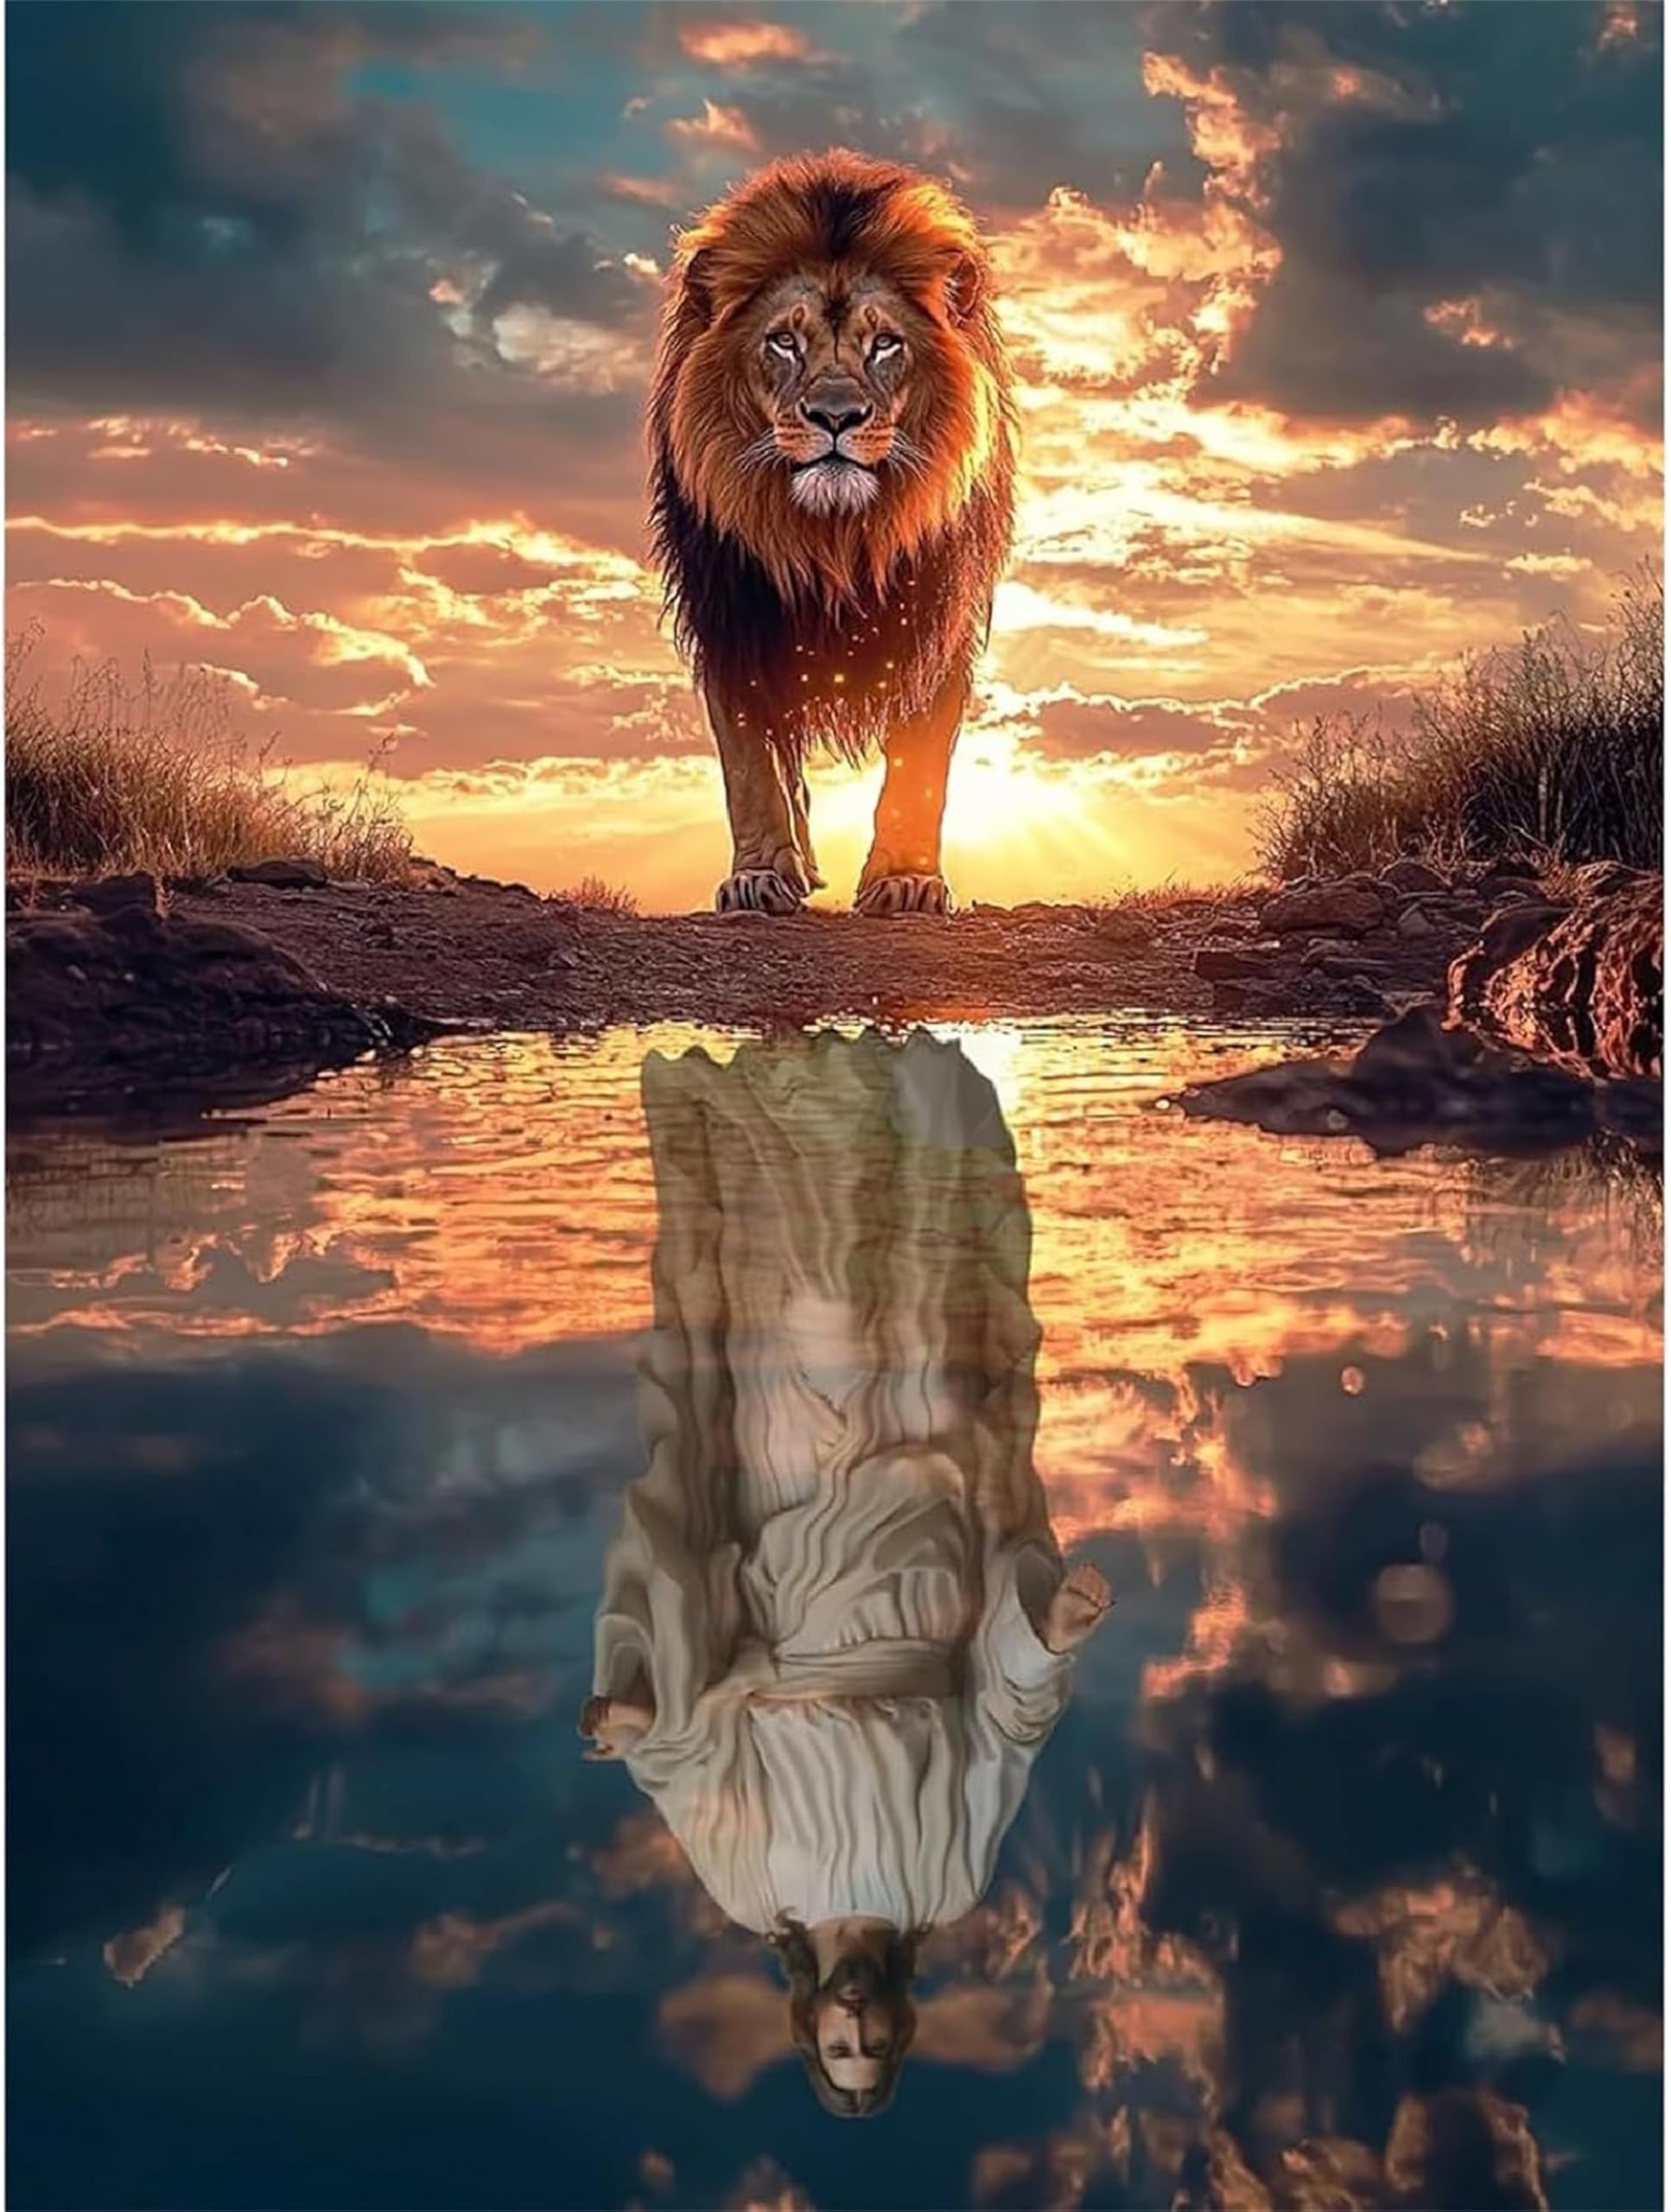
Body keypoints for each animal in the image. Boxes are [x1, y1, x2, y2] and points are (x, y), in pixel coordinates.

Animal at [648, 148, 1018, 917]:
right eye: (784, 342)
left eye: (885, 345)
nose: (837, 417)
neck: (836, 538)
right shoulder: (731, 615)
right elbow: (752, 765)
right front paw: (760, 875)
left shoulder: (939, 618)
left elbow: (920, 762)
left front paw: (905, 879)